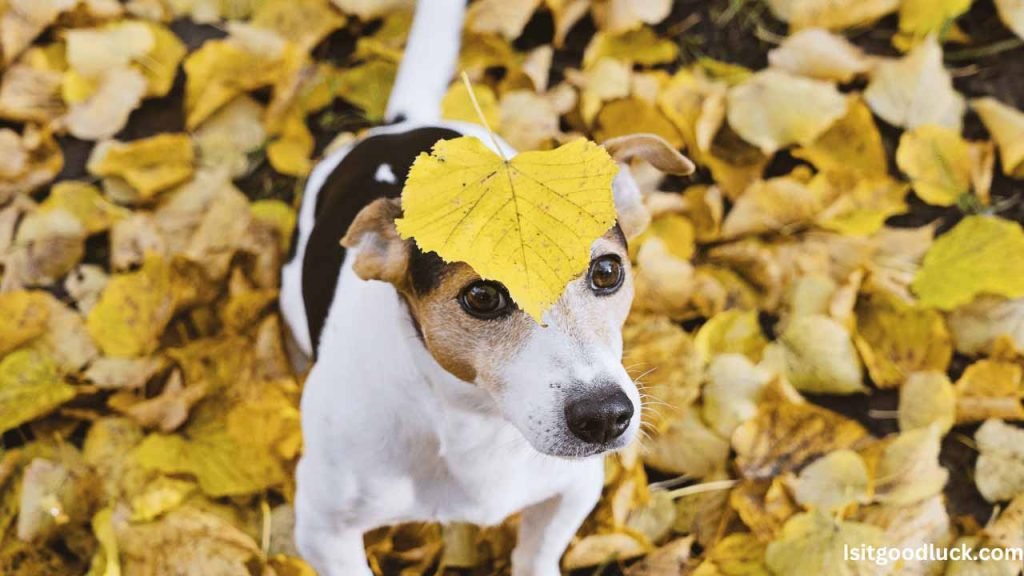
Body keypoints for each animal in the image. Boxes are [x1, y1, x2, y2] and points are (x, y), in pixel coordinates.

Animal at [280, 2, 696, 569]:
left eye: (607, 272)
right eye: (481, 297)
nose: (605, 416)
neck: (479, 423)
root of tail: (401, 127)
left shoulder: (572, 489)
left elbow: (537, 555)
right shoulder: (323, 531)